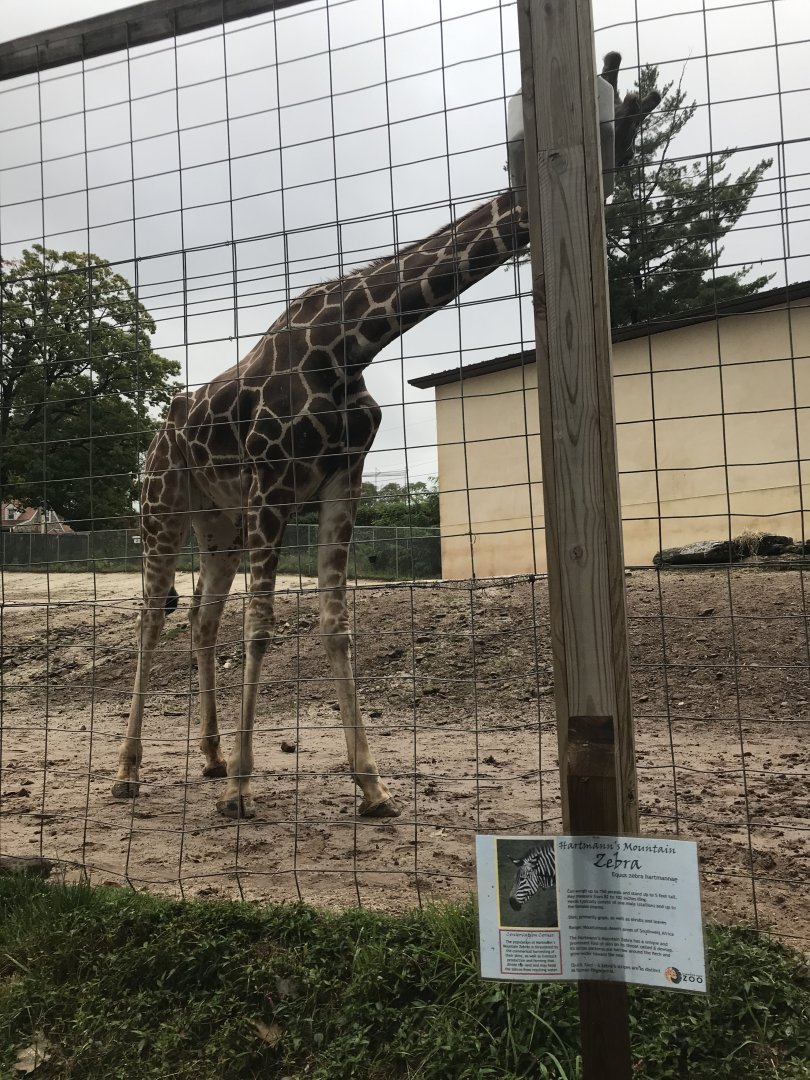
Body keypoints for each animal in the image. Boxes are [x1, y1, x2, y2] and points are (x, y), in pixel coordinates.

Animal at [113, 55, 658, 820]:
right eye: (616, 132)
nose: (591, 200)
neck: (351, 343)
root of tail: (160, 435)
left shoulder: (344, 479)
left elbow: (336, 625)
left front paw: (370, 785)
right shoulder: (274, 484)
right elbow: (263, 625)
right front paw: (249, 788)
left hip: (218, 521)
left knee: (199, 618)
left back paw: (213, 758)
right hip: (165, 504)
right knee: (150, 618)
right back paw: (129, 772)